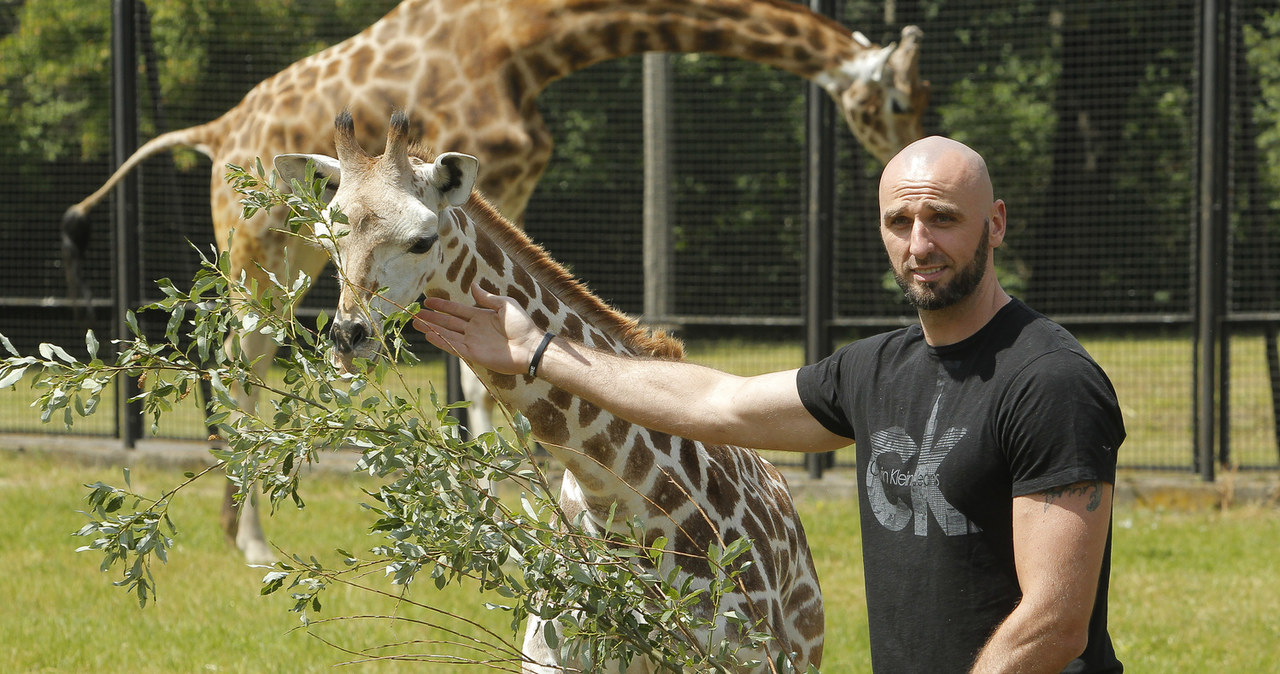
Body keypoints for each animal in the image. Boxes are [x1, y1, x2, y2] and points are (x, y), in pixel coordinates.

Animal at [60, 0, 926, 565]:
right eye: (892, 98)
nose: (906, 157)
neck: (524, 39)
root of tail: (215, 133)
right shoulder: (478, 187)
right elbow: (479, 383)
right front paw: (496, 510)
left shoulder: (499, 197)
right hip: (254, 247)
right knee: (245, 363)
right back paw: (252, 542)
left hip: (290, 257)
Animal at [275, 111, 824, 674]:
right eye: (326, 242)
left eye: (423, 240)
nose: (348, 339)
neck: (623, 504)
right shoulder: (553, 657)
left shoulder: (747, 656)